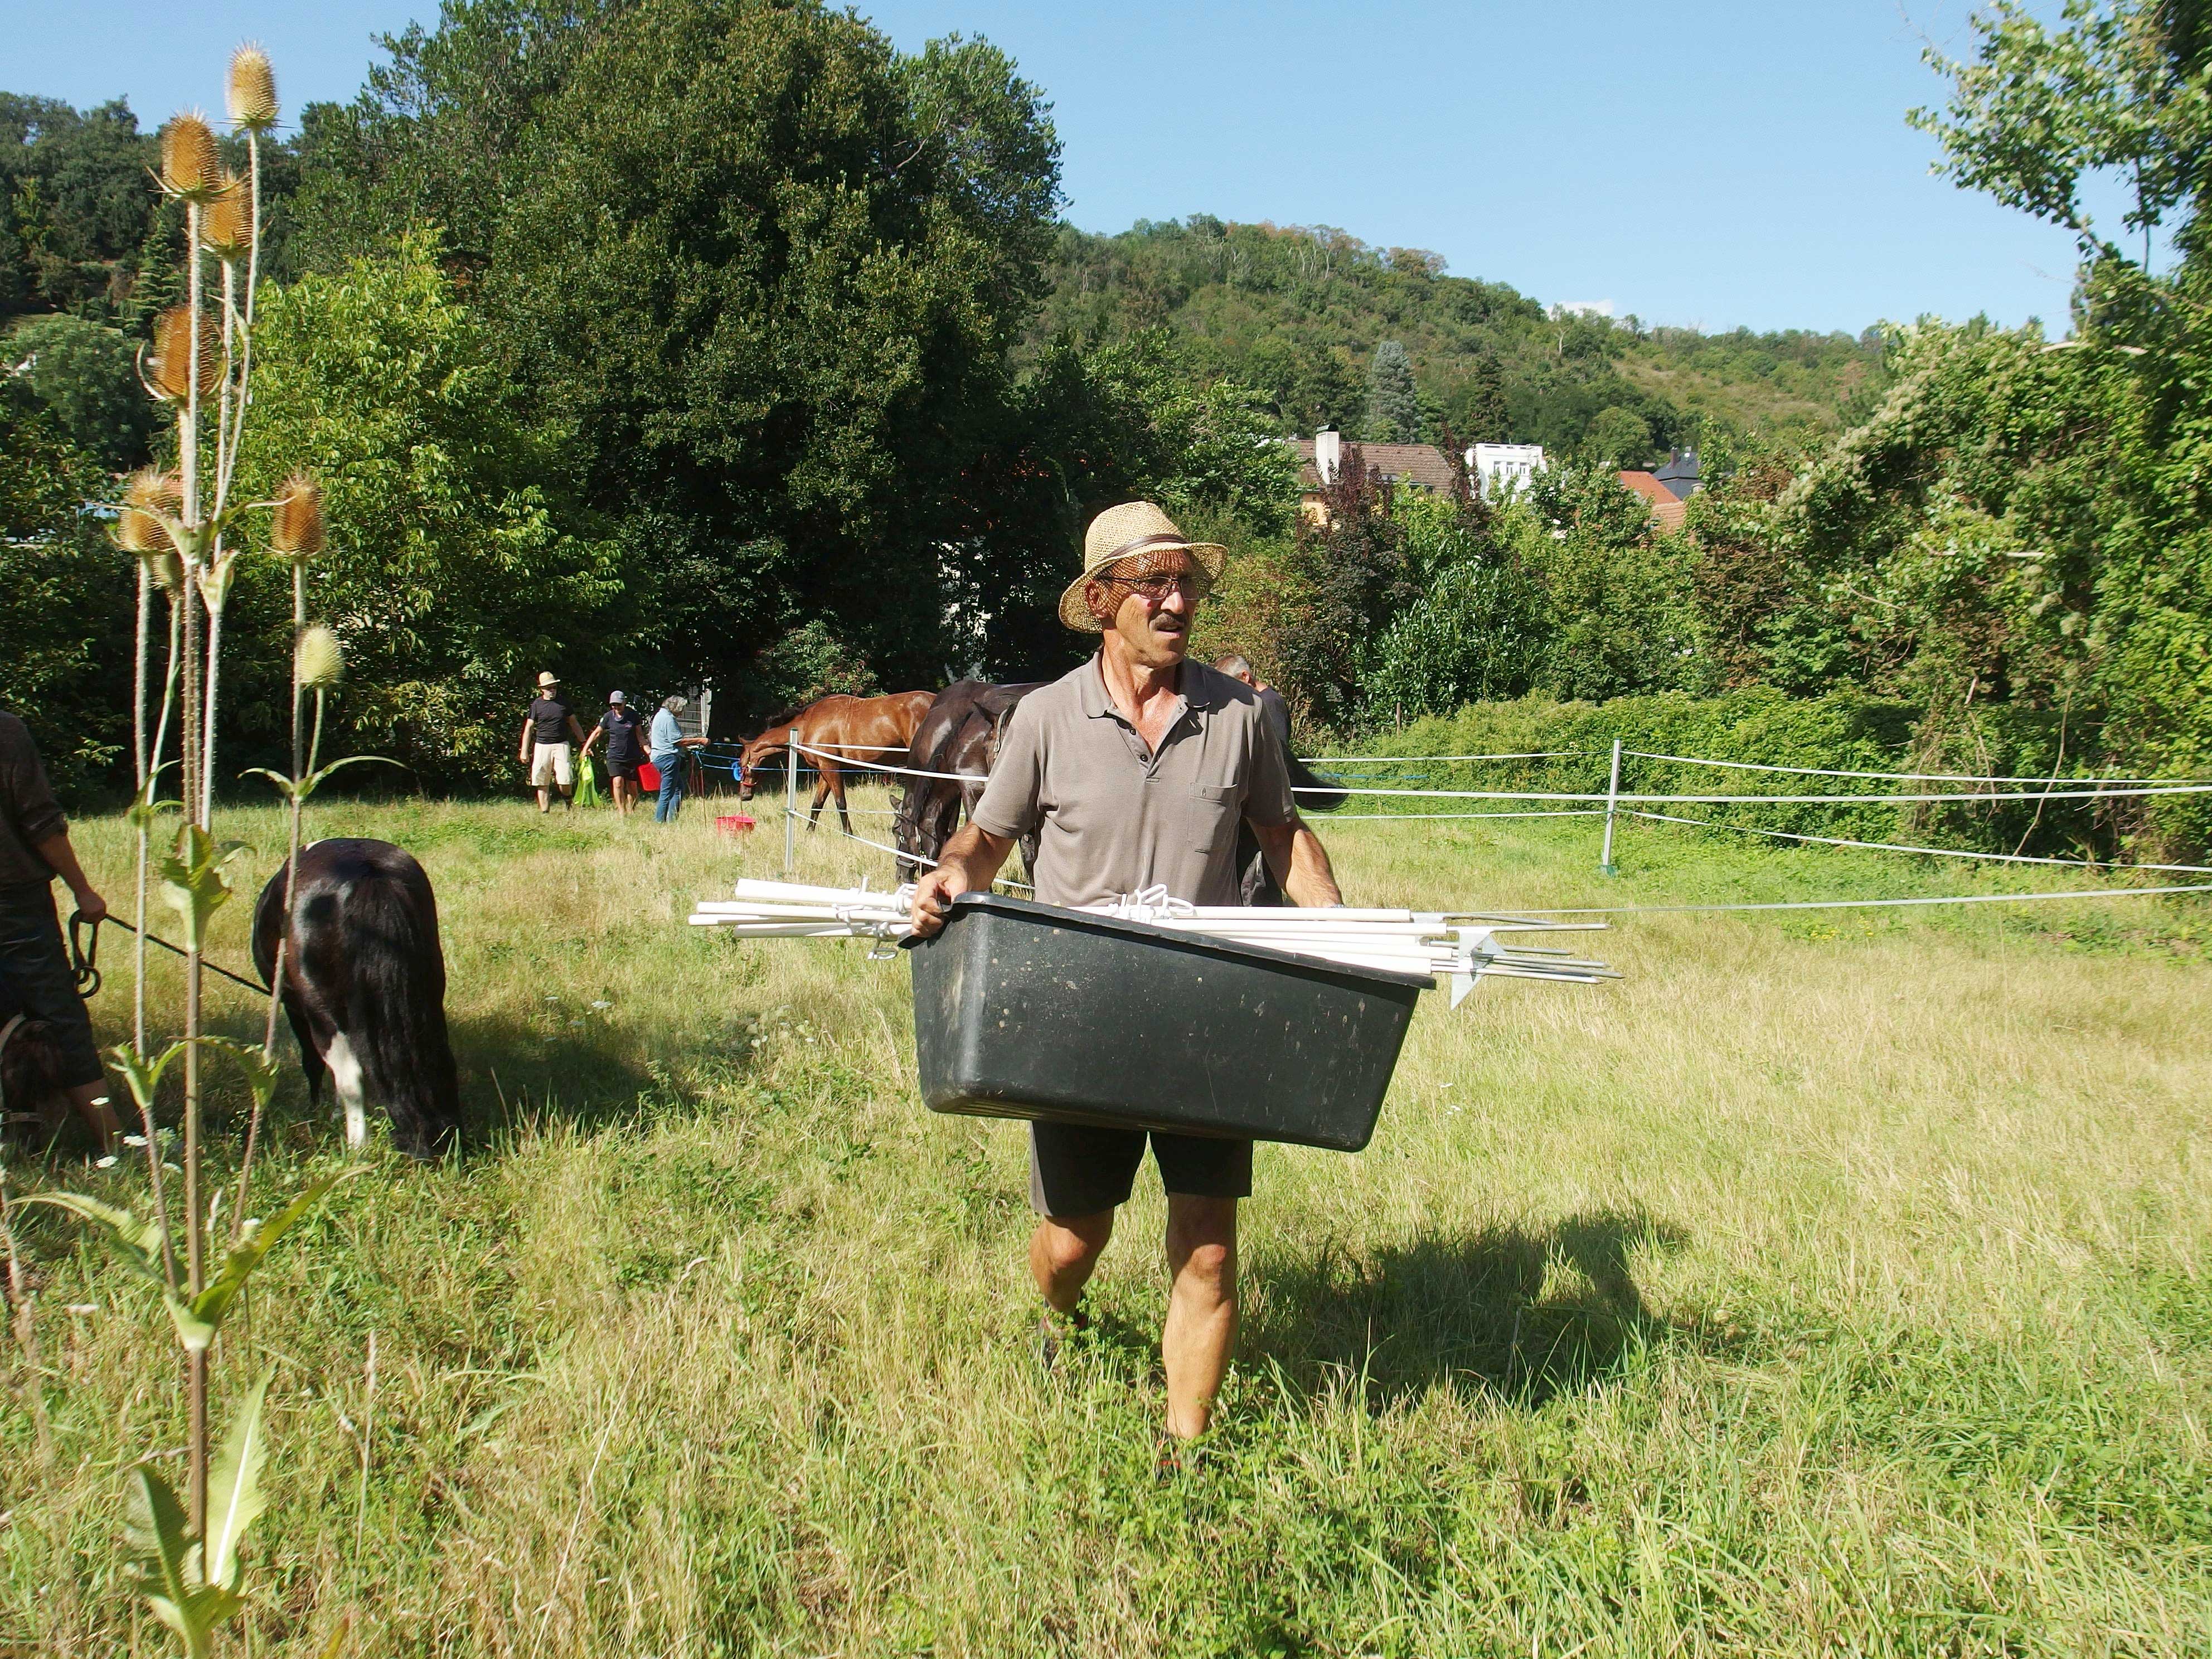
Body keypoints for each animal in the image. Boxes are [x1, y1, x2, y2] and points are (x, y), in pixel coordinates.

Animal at [251, 836, 458, 1159]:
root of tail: (368, 872)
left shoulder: (294, 1008)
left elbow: (313, 1063)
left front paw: (319, 1109)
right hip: (427, 993)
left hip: (321, 1013)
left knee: (349, 1073)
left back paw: (358, 1147)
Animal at [730, 690, 929, 836]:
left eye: (741, 766)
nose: (744, 796)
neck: (807, 724)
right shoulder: (823, 771)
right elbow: (817, 803)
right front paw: (809, 832)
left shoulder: (831, 768)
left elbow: (840, 803)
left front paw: (848, 834)